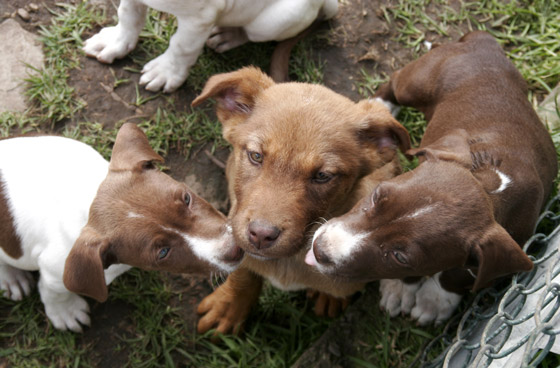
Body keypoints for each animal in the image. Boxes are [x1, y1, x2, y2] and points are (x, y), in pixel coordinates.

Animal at [0, 123, 243, 330]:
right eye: (163, 253)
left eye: (186, 198)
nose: (236, 249)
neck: (85, 193)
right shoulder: (56, 271)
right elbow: (53, 291)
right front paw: (65, 312)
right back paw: (12, 278)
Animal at [82, 0, 336, 92]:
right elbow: (128, 14)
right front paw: (116, 42)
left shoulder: (198, 17)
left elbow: (181, 47)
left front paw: (165, 73)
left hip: (274, 21)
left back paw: (228, 35)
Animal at [190, 67, 410, 336]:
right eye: (256, 156)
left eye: (322, 176)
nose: (261, 235)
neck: (290, 260)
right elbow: (243, 273)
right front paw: (230, 306)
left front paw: (331, 296)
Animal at [308, 31, 556, 324]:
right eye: (377, 195)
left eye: (399, 256)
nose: (320, 249)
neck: (493, 186)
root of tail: (483, 40)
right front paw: (401, 290)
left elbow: (460, 274)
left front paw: (435, 300)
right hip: (418, 82)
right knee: (396, 81)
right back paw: (378, 110)